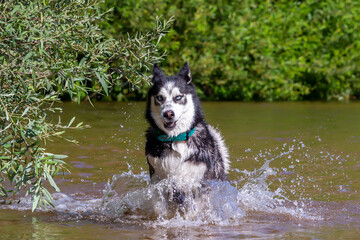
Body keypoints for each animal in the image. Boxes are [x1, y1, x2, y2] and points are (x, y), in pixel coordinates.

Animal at [145, 61, 229, 193]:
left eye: (178, 97)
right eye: (160, 97)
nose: (168, 114)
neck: (175, 138)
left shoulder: (197, 181)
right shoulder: (157, 178)